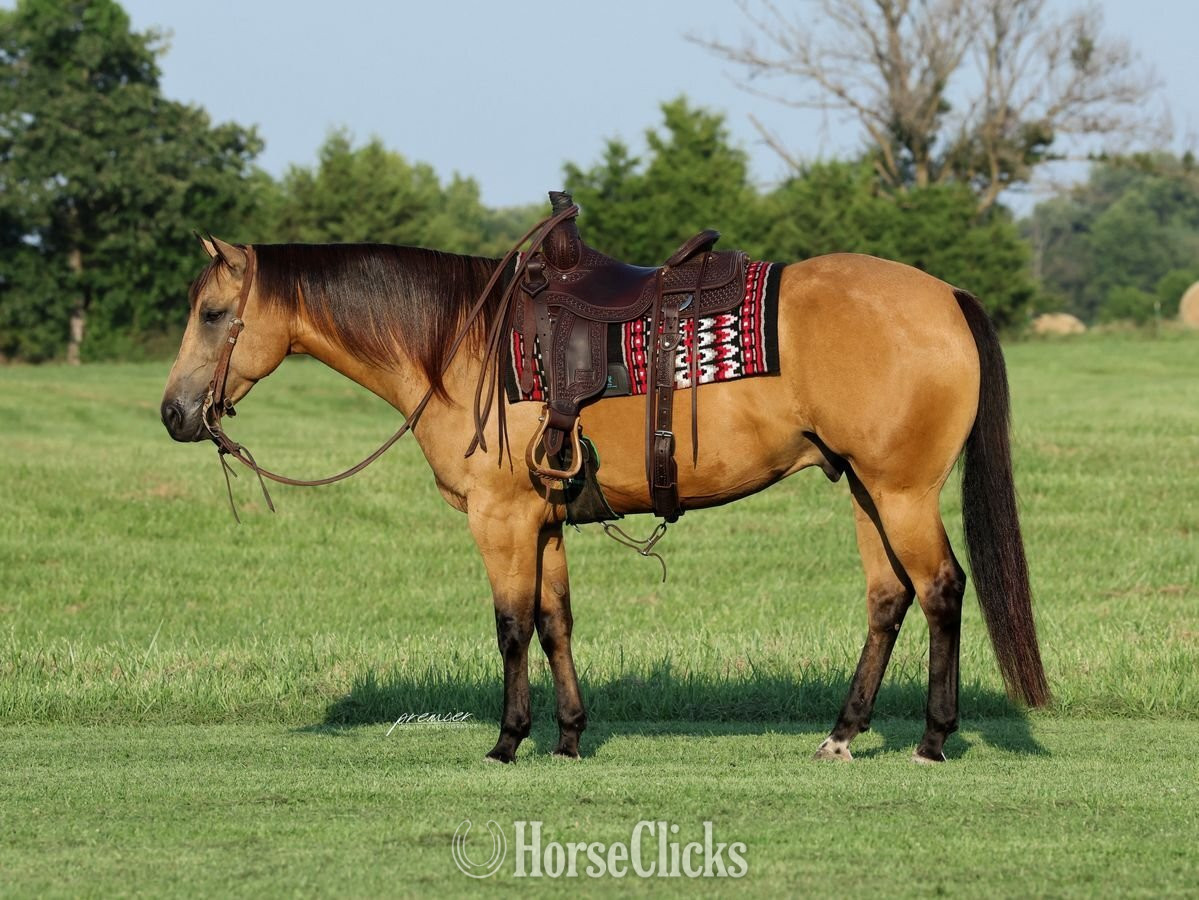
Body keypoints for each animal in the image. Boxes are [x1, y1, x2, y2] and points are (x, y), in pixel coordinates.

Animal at [161, 233, 1049, 764]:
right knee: (886, 599)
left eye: (212, 313)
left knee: (940, 590)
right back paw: (840, 734)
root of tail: (944, 296)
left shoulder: (500, 518)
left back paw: (932, 737)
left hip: (901, 491)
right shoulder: (542, 521)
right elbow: (555, 622)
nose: (173, 413)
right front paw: (567, 737)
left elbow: (511, 626)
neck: (460, 346)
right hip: (865, 487)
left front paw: (507, 740)